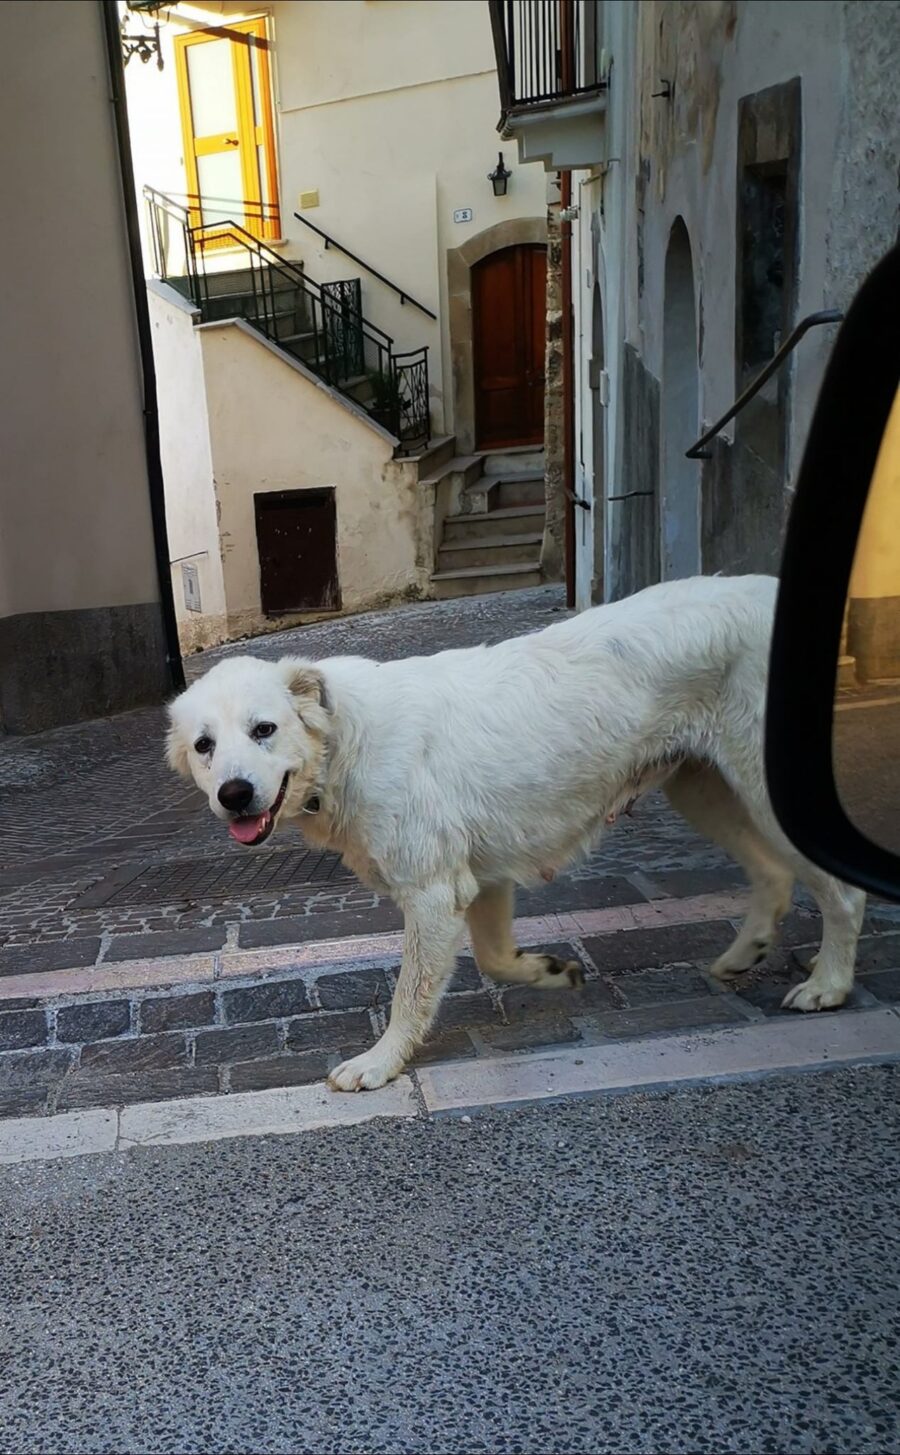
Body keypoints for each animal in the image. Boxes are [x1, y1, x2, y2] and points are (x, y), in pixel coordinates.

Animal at [167, 573, 866, 1088]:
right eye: (204, 746)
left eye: (264, 729)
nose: (234, 795)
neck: (342, 743)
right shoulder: (481, 881)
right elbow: (495, 959)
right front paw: (550, 972)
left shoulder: (432, 894)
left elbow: (409, 994)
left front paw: (380, 1063)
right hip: (703, 788)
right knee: (773, 873)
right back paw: (747, 953)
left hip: (763, 787)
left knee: (844, 890)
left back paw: (829, 984)